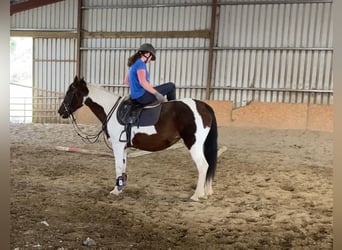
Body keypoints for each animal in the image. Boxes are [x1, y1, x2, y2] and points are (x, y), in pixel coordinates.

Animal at [57, 76, 218, 201]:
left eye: (70, 91)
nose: (60, 111)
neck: (111, 109)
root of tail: (203, 106)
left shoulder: (117, 145)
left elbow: (118, 166)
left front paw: (115, 191)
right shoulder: (124, 146)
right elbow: (123, 166)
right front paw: (121, 188)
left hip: (194, 144)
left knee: (203, 166)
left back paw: (196, 195)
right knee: (208, 165)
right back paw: (206, 192)